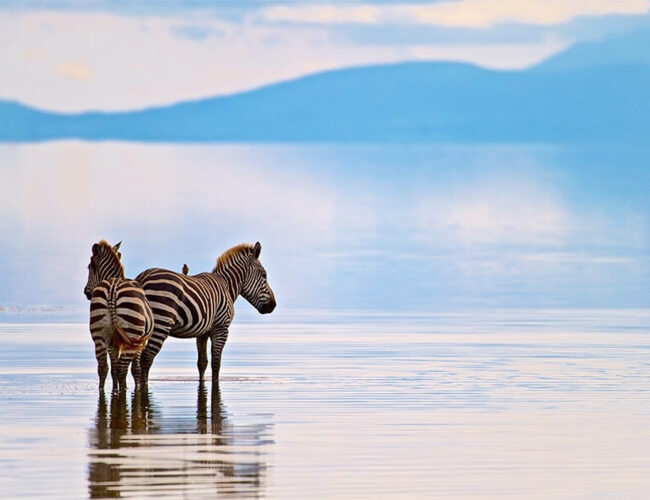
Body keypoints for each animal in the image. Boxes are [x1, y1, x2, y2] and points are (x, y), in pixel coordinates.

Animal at [83, 240, 154, 391]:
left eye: (89, 268)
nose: (86, 292)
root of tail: (112, 289)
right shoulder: (140, 342)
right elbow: (135, 369)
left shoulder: (112, 343)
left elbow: (113, 368)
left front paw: (115, 388)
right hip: (132, 335)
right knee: (122, 368)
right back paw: (123, 390)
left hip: (99, 335)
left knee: (103, 368)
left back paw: (104, 390)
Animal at [135, 241, 276, 385]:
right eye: (264, 275)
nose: (273, 305)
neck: (227, 286)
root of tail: (142, 278)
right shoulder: (221, 328)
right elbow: (216, 362)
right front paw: (215, 382)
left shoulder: (202, 333)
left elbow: (202, 363)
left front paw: (202, 381)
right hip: (161, 322)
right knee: (146, 357)